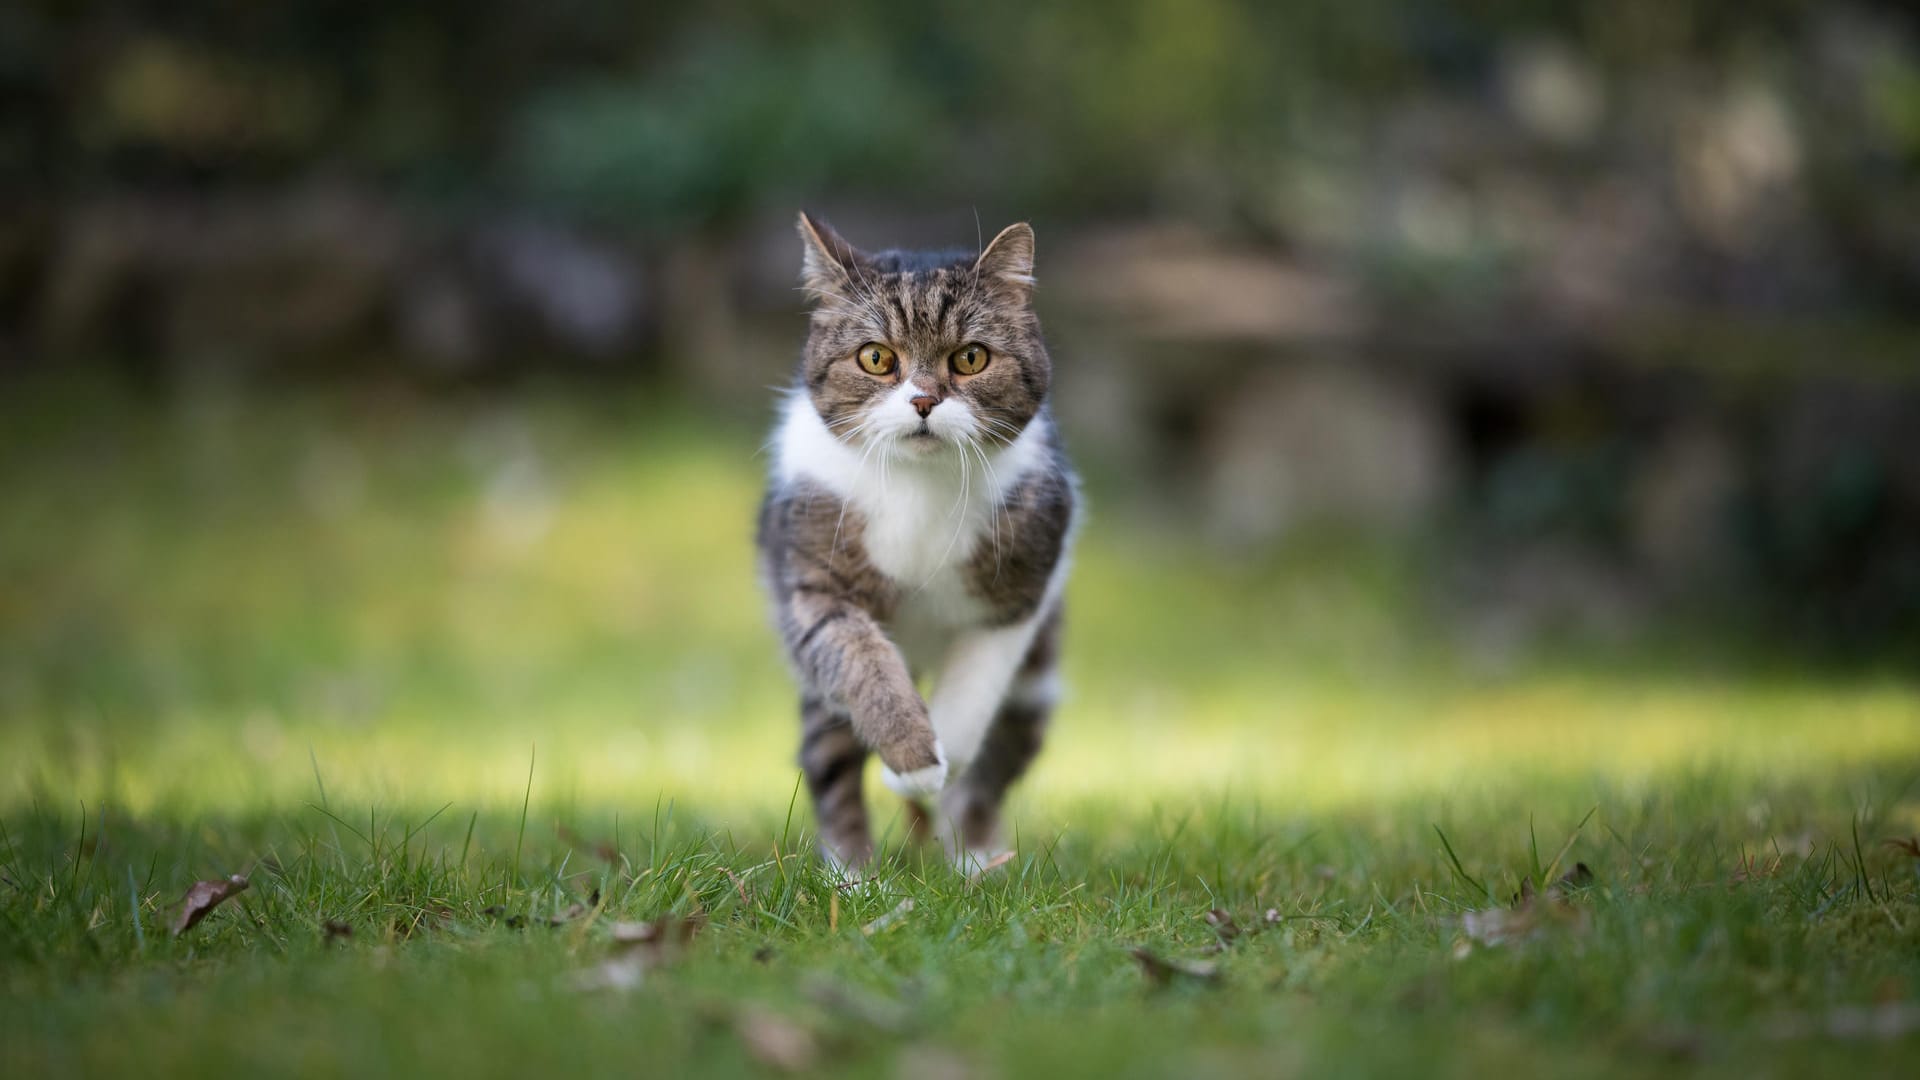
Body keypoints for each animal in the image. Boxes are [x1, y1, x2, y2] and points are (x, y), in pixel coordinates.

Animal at [752, 212, 1082, 876]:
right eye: (877, 358)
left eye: (971, 357)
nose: (925, 400)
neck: (918, 485)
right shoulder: (813, 583)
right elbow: (860, 659)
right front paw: (911, 756)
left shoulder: (1023, 590)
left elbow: (973, 692)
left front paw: (935, 760)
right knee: (829, 760)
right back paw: (854, 877)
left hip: (1034, 686)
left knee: (992, 768)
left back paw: (974, 860)